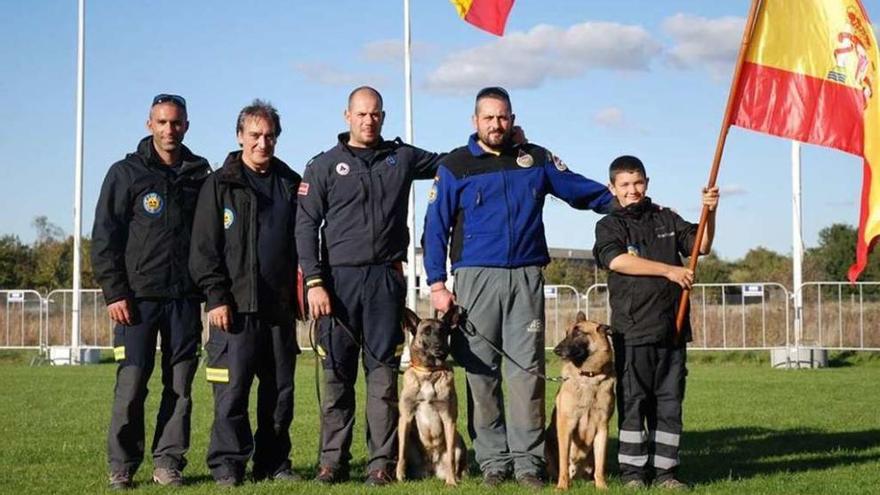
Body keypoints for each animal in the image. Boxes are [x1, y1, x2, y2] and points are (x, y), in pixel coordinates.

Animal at [398, 308, 468, 486]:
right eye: (426, 331)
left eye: (442, 331)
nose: (439, 347)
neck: (429, 373)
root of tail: (432, 468)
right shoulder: (405, 418)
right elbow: (401, 452)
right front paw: (399, 477)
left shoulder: (449, 419)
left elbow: (451, 458)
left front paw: (451, 482)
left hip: (458, 439)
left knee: (456, 461)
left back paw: (456, 477)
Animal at [548, 312, 616, 490]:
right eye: (566, 333)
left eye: (578, 333)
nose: (556, 350)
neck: (588, 377)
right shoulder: (566, 425)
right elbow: (563, 462)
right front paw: (562, 486)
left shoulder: (602, 427)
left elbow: (600, 464)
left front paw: (601, 486)